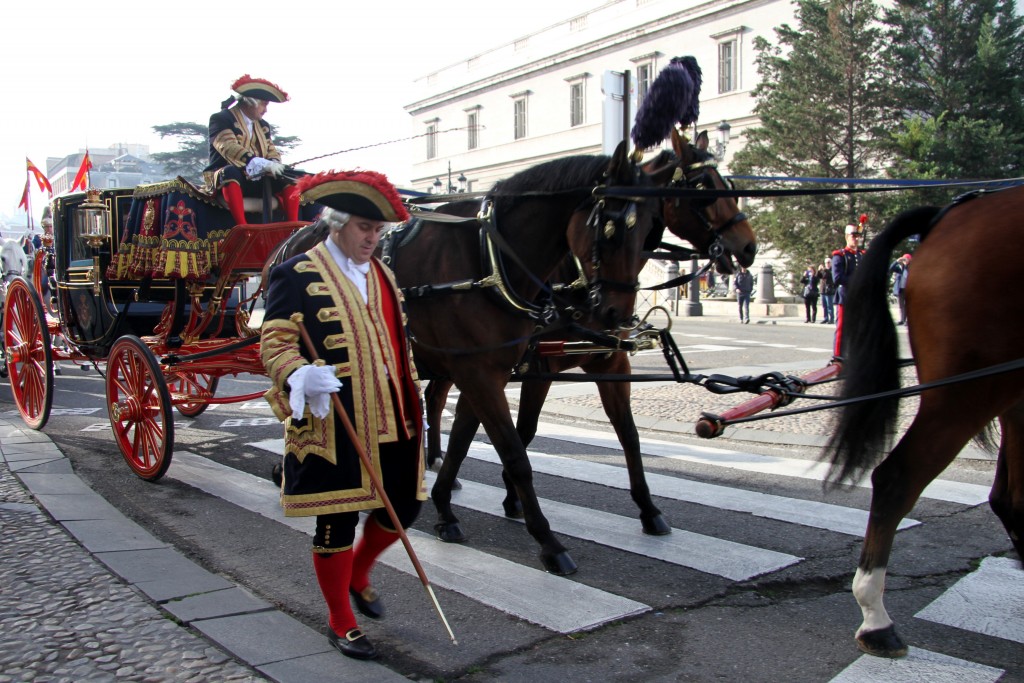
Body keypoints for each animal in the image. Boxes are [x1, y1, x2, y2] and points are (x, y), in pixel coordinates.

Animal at [423, 126, 761, 532]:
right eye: (704, 187)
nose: (749, 246)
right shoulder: (539, 369)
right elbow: (525, 431)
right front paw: (513, 494)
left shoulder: (609, 362)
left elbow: (627, 433)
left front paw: (648, 507)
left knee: (437, 399)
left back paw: (438, 464)